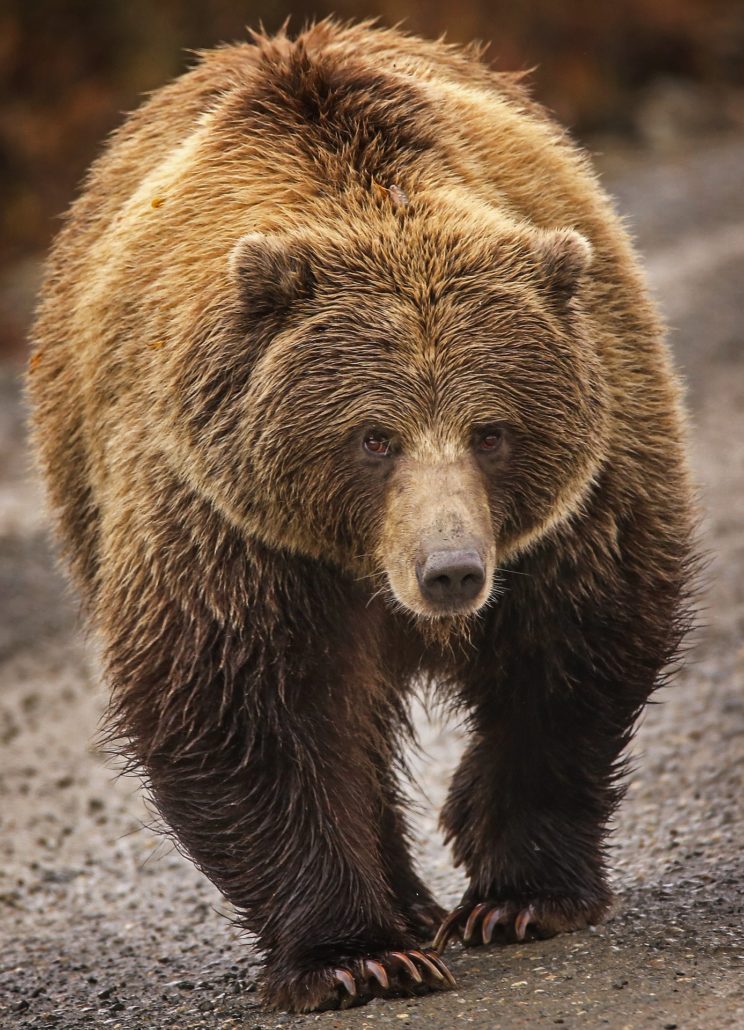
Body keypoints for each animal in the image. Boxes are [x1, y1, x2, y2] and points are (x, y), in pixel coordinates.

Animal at [24, 16, 696, 1013]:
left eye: (491, 430)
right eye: (375, 437)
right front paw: (357, 954)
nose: (450, 570)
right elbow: (239, 705)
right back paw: (404, 906)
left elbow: (574, 650)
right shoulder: (222, 518)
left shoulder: (586, 488)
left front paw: (518, 895)